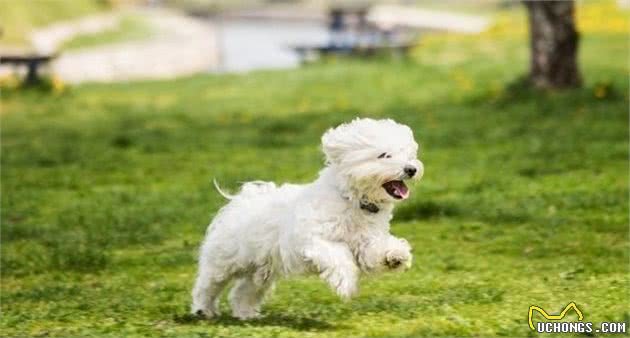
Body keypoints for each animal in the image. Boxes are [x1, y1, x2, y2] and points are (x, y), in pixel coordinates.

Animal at [193, 117, 428, 318]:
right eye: (384, 155)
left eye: (407, 154)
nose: (411, 168)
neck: (352, 200)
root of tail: (244, 200)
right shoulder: (315, 239)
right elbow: (339, 256)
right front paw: (346, 283)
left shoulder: (366, 241)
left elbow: (376, 251)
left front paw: (395, 255)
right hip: (225, 260)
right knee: (208, 284)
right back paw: (203, 310)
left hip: (262, 268)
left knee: (245, 290)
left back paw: (246, 313)